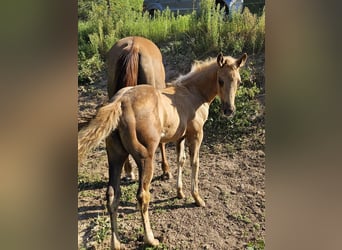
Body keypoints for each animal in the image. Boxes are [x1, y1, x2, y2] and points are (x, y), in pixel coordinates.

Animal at [79, 52, 247, 248]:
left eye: (238, 81)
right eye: (220, 80)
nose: (229, 110)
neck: (192, 92)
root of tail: (120, 102)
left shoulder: (180, 136)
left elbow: (180, 160)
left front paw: (180, 193)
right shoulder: (197, 134)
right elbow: (194, 163)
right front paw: (197, 198)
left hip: (115, 157)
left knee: (112, 195)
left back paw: (116, 244)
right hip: (146, 158)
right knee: (142, 196)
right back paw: (151, 239)